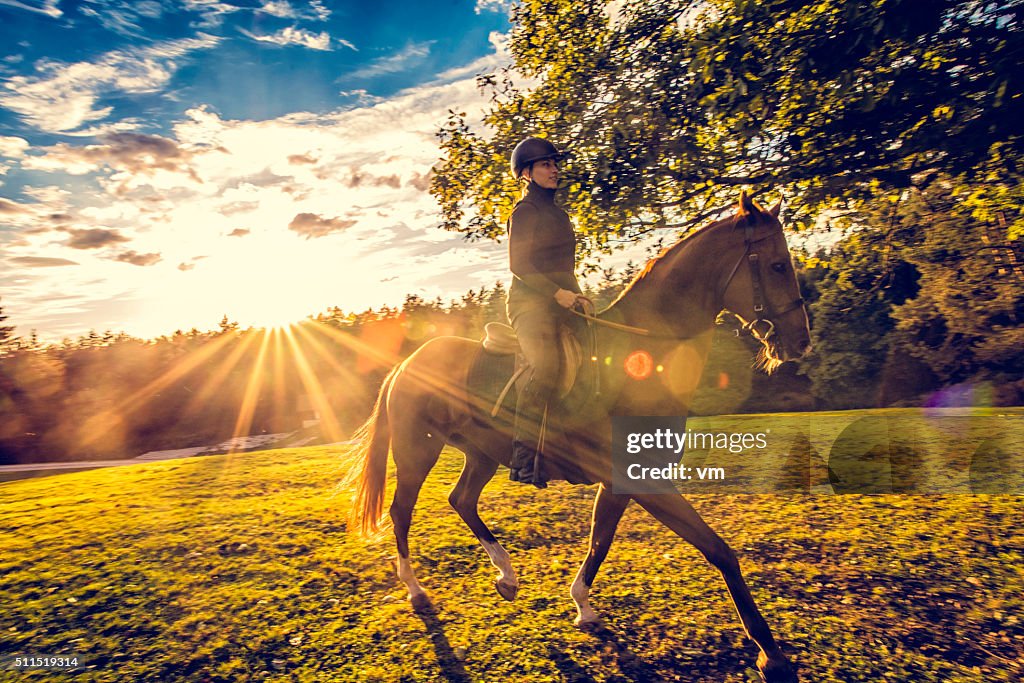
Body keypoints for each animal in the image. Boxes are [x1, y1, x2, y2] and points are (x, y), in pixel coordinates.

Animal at [342, 192, 806, 683]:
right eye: (777, 265)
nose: (801, 342)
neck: (642, 356)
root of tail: (406, 363)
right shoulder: (644, 481)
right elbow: (719, 550)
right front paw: (771, 654)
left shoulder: (623, 481)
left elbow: (600, 539)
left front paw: (583, 607)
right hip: (418, 452)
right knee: (401, 512)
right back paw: (417, 590)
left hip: (481, 455)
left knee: (461, 500)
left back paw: (506, 575)